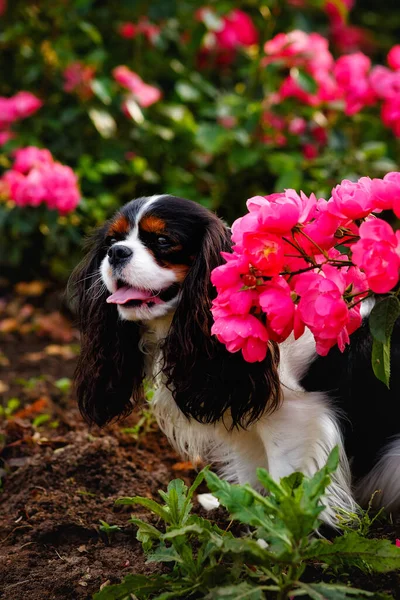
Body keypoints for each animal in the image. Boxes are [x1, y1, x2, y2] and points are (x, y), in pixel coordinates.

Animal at [70, 195, 400, 524]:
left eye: (163, 240)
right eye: (112, 240)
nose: (116, 252)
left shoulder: (296, 421)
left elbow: (285, 485)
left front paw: (278, 534)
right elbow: (252, 476)